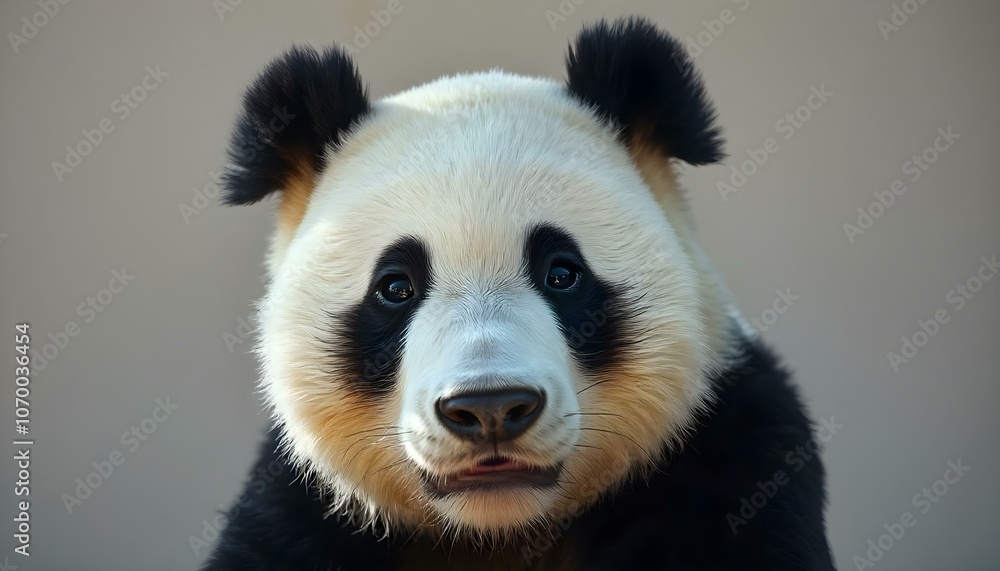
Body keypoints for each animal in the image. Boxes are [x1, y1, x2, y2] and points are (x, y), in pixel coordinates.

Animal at [205, 17, 835, 571]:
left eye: (562, 274)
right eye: (395, 287)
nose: (489, 408)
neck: (499, 531)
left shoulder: (730, 461)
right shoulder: (297, 510)